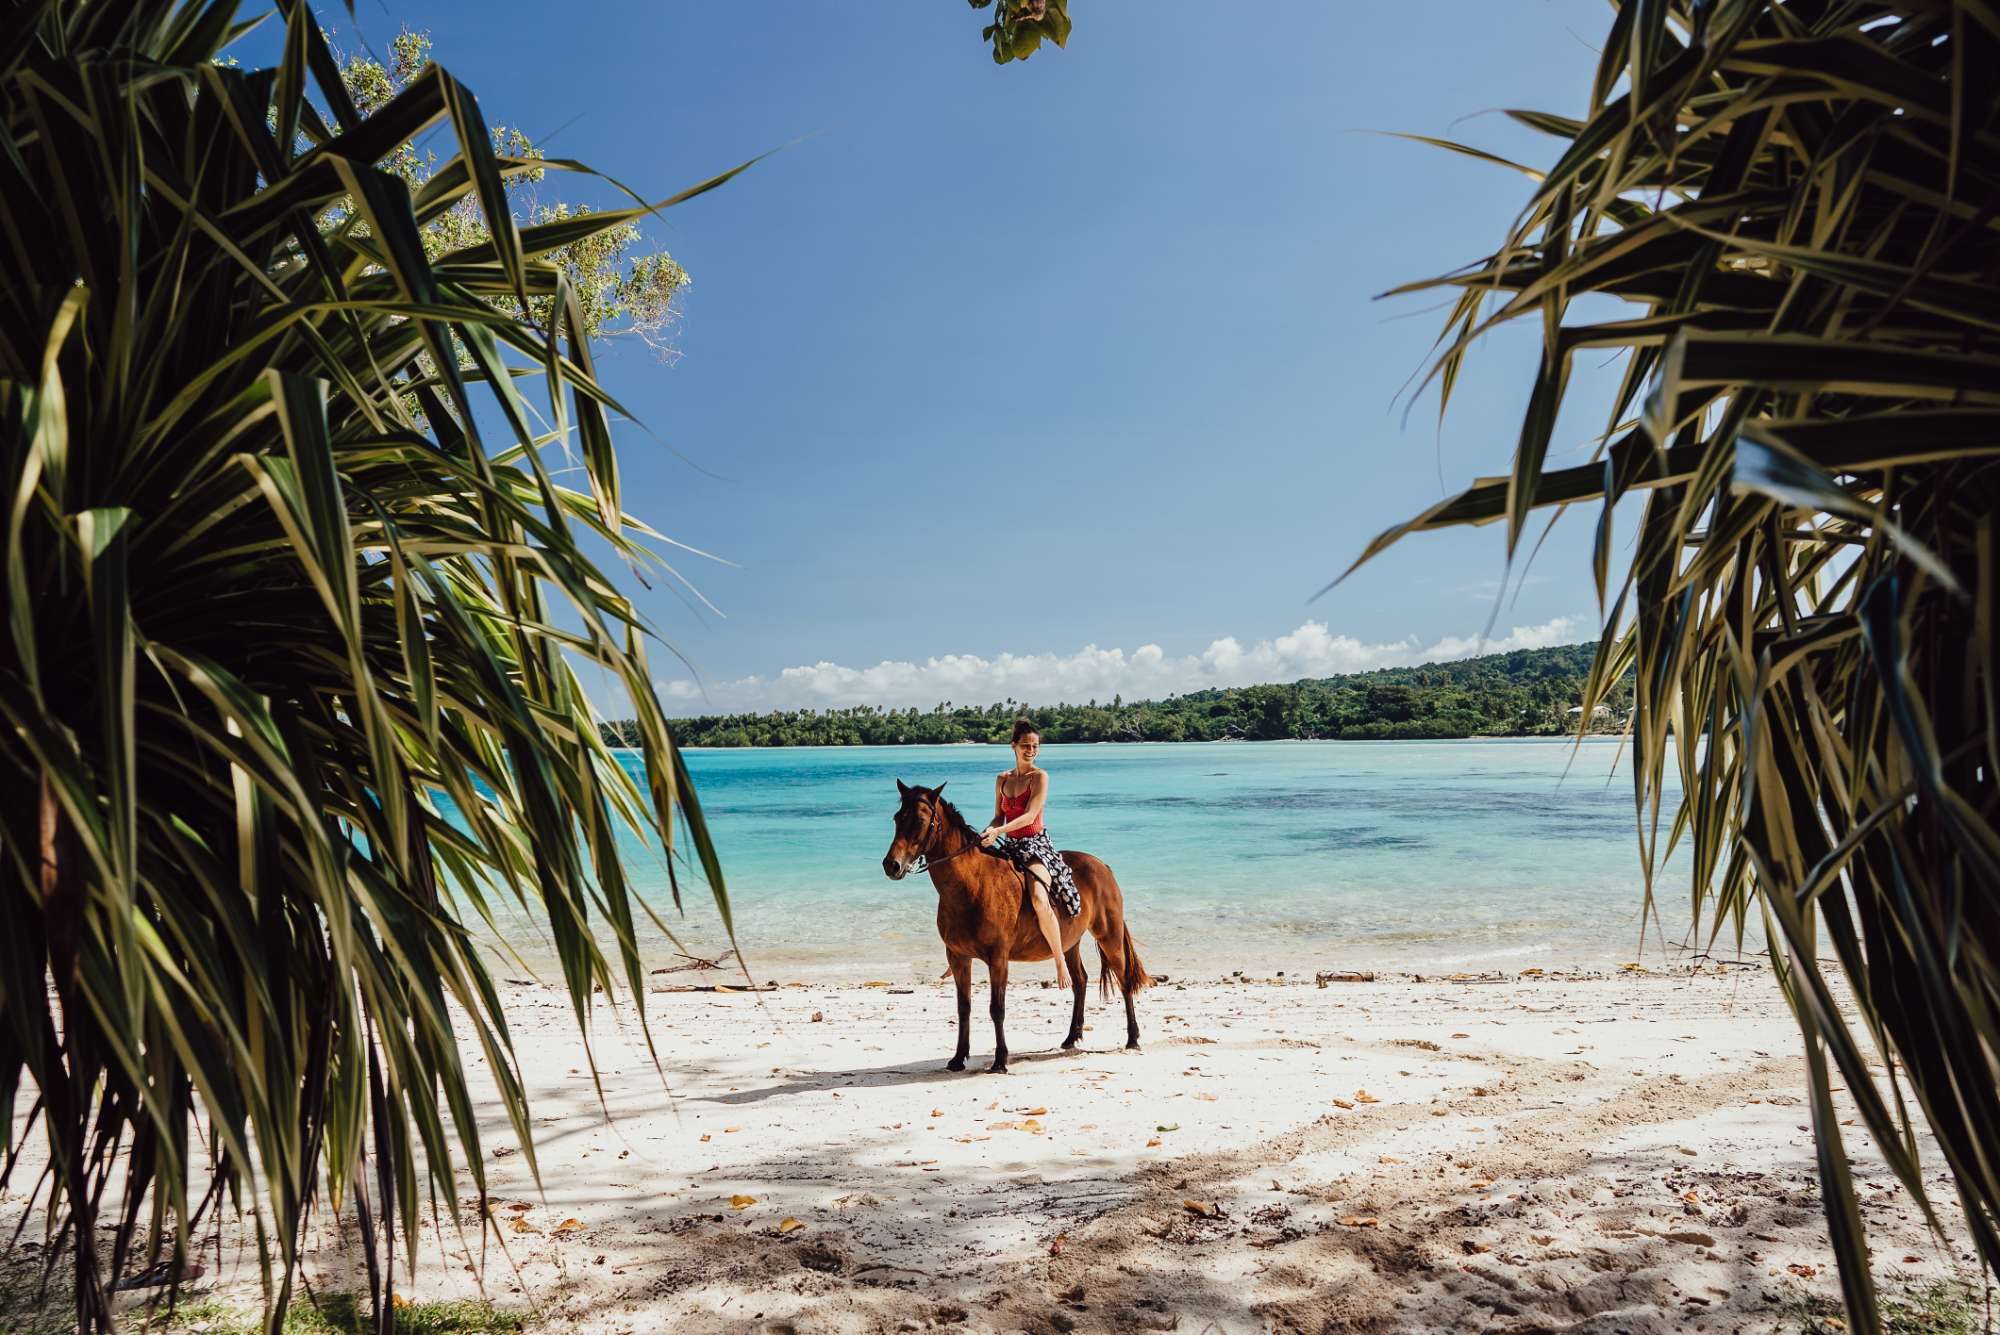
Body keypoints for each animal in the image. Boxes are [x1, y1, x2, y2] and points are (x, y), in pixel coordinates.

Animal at [881, 780, 1150, 1073]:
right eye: (897, 818)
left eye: (919, 820)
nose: (891, 865)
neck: (971, 886)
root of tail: (1102, 866)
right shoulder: (958, 957)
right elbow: (964, 1007)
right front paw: (958, 1058)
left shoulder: (998, 958)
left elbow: (996, 1009)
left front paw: (1000, 1060)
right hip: (1069, 944)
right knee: (1080, 982)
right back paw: (1071, 1037)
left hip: (1108, 936)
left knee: (1124, 980)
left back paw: (1133, 1038)